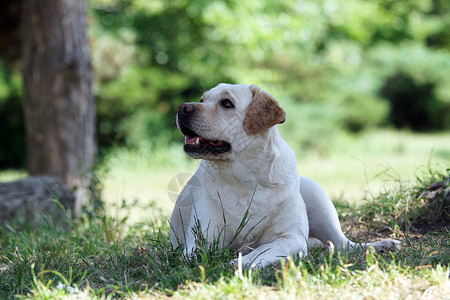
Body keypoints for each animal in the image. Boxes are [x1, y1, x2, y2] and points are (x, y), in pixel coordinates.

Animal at [170, 82, 400, 268]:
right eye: (203, 99)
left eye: (227, 103)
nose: (182, 107)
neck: (247, 179)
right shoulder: (201, 239)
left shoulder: (291, 237)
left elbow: (262, 250)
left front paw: (240, 263)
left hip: (316, 194)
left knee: (345, 244)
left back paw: (382, 245)